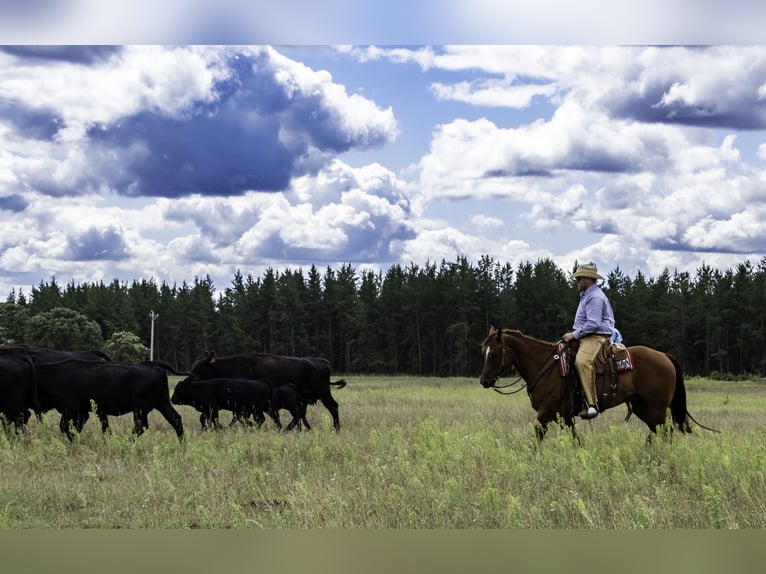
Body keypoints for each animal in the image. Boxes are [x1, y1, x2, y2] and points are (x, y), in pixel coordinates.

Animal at [32, 360, 185, 440]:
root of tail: (153, 365)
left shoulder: (71, 409)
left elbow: (65, 426)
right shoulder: (84, 412)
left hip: (140, 409)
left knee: (141, 426)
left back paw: (128, 442)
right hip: (162, 403)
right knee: (175, 418)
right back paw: (182, 443)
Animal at [189, 352, 348, 432]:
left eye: (199, 366)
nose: (189, 377)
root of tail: (322, 361)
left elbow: (240, 417)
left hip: (324, 394)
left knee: (333, 406)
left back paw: (336, 428)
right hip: (306, 398)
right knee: (302, 413)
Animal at [480, 328, 712, 440]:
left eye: (496, 353)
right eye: (484, 351)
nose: (484, 381)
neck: (545, 366)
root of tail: (664, 356)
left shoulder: (545, 413)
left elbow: (535, 438)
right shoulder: (564, 416)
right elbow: (575, 440)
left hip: (655, 407)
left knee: (664, 433)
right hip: (642, 407)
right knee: (657, 432)